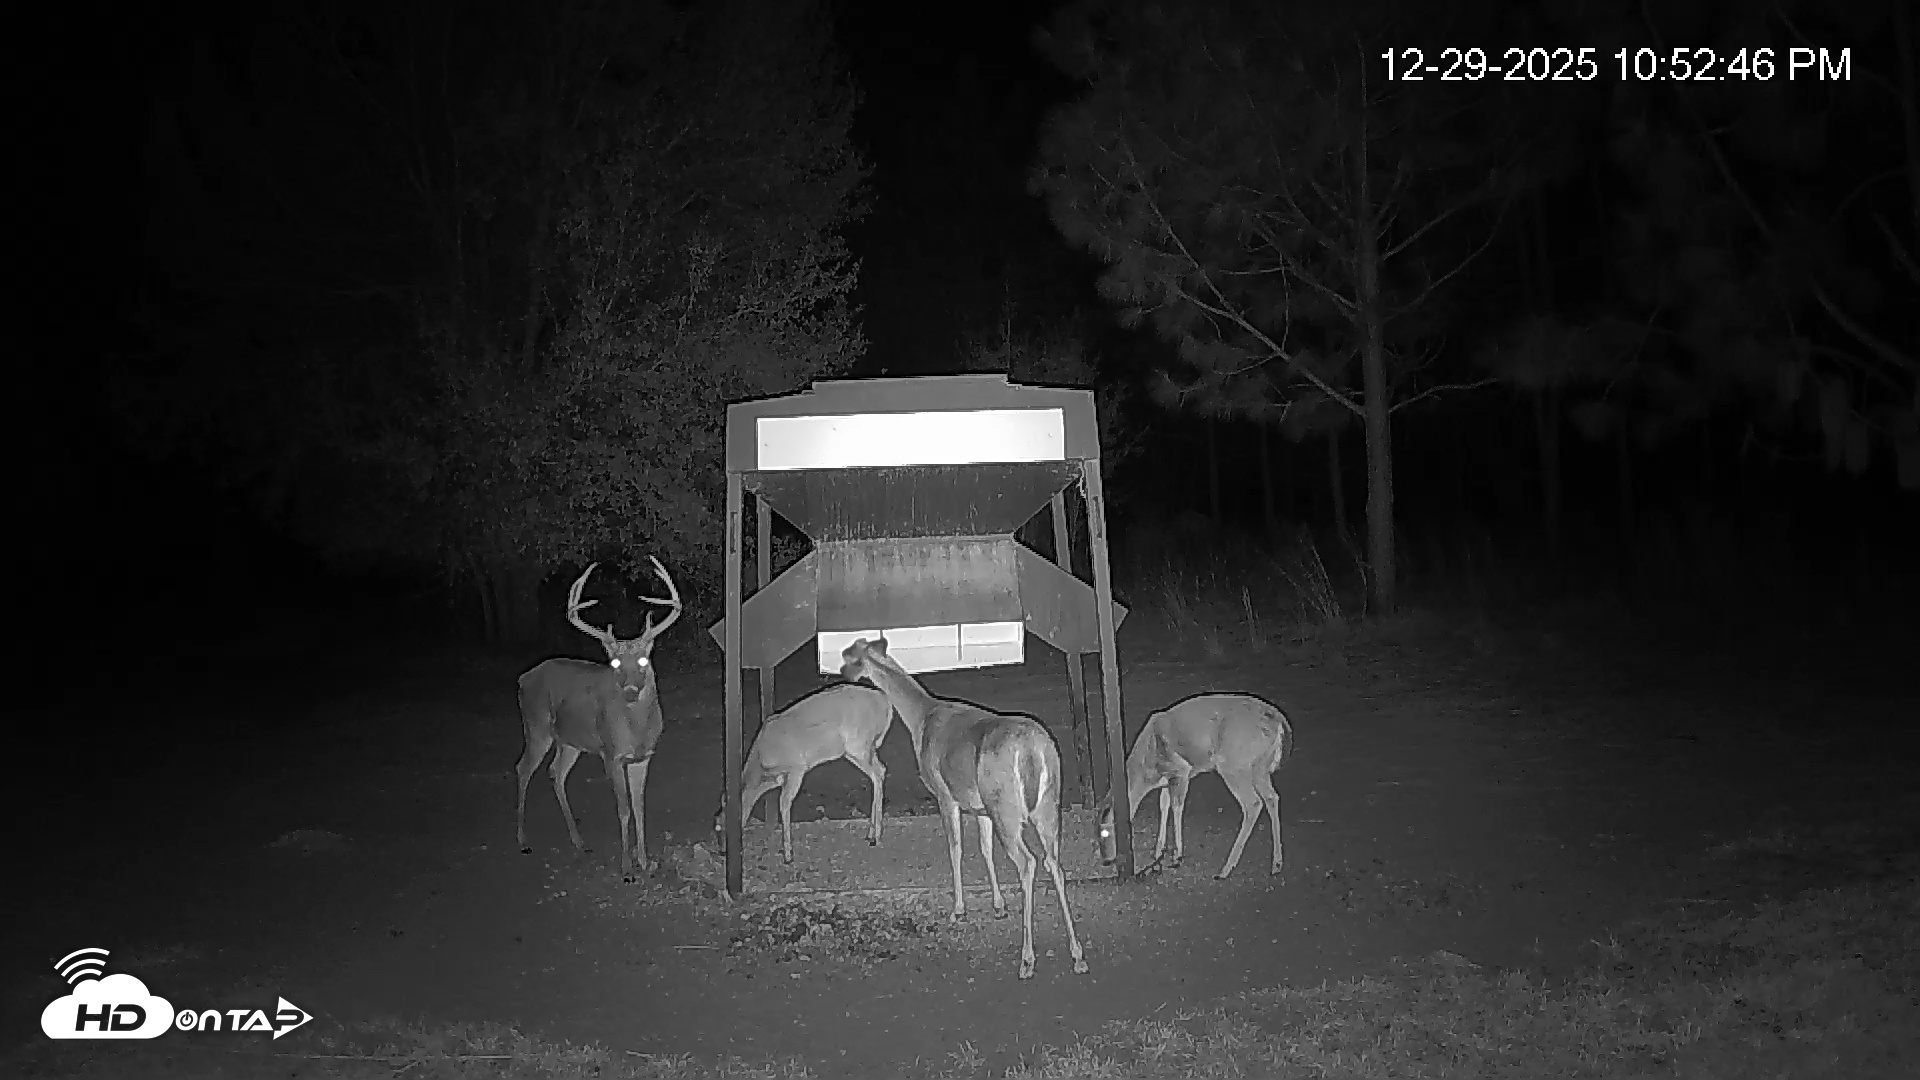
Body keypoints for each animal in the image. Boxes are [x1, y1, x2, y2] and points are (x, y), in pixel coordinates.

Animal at [515, 556, 682, 883]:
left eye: (643, 660)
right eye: (614, 662)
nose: (629, 691)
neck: (636, 730)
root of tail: (523, 678)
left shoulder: (643, 757)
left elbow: (639, 807)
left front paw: (646, 862)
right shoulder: (611, 753)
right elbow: (624, 809)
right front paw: (627, 869)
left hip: (570, 741)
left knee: (555, 772)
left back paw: (579, 841)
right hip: (536, 726)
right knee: (523, 769)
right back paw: (523, 840)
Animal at [712, 682, 896, 864]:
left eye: (720, 827)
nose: (722, 851)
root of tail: (885, 701)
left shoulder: (796, 768)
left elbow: (784, 803)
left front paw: (788, 855)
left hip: (858, 746)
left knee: (877, 773)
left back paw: (875, 836)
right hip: (859, 750)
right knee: (880, 770)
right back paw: (871, 833)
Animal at [839, 637, 1087, 980]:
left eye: (848, 656)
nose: (841, 674)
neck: (922, 718)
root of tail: (1031, 752)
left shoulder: (945, 795)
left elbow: (955, 849)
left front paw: (958, 910)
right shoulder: (980, 809)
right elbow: (985, 850)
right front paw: (998, 905)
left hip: (1006, 809)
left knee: (1028, 863)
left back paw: (1027, 959)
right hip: (1046, 806)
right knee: (1055, 864)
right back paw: (1077, 954)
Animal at [1095, 693, 1294, 880]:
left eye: (1105, 833)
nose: (1106, 860)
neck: (1147, 770)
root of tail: (1279, 721)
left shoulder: (1181, 770)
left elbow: (1176, 806)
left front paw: (1177, 856)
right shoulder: (1168, 779)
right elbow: (1163, 804)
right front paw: (1158, 851)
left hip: (1234, 763)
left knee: (1253, 803)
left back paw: (1225, 869)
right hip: (1260, 766)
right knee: (1272, 797)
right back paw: (1276, 864)